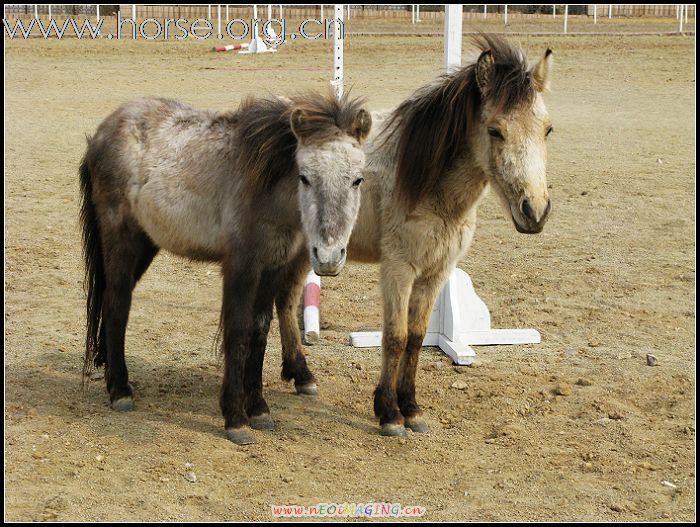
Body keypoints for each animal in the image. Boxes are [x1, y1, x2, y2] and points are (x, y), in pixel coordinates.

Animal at [276, 34, 556, 438]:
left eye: (547, 129)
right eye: (495, 130)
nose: (534, 211)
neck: (425, 184)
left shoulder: (436, 272)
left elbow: (418, 335)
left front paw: (410, 407)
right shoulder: (398, 269)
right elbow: (395, 336)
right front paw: (389, 413)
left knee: (284, 300)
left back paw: (300, 375)